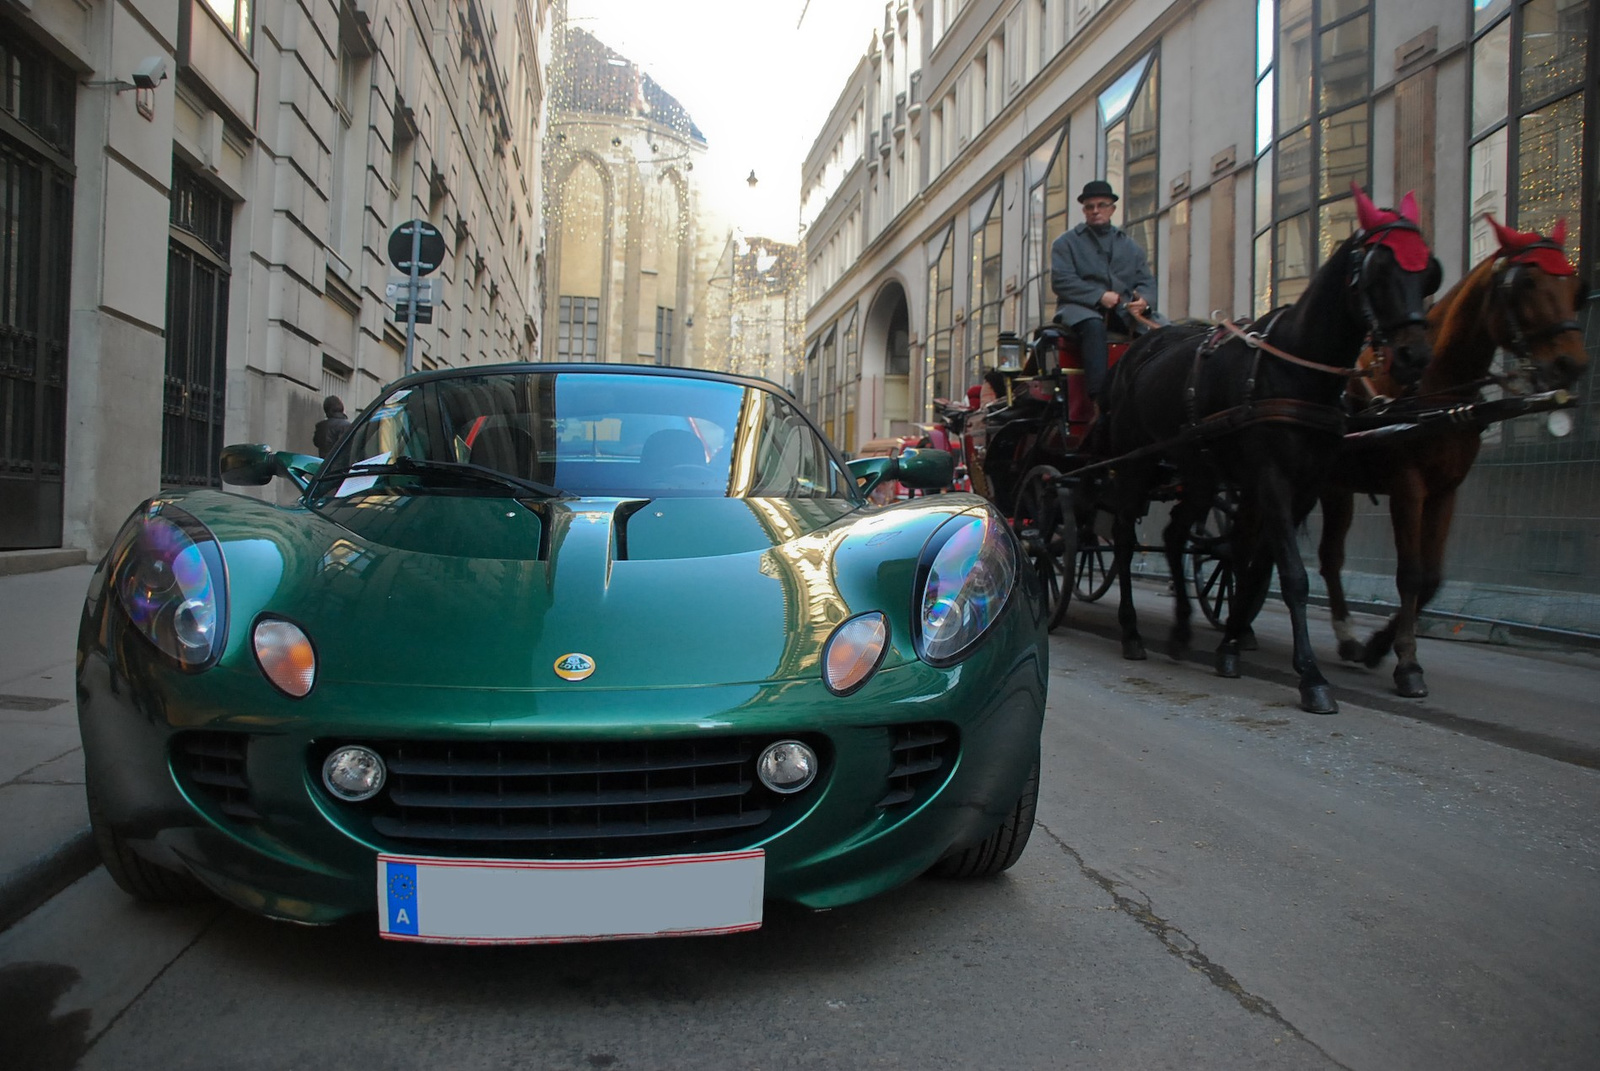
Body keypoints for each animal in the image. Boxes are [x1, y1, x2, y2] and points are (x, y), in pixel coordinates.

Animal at [1088, 188, 1440, 714]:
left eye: (1428, 271)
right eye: (1379, 271)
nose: (1414, 357)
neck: (1296, 371)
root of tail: (1134, 349)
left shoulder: (1303, 488)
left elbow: (1255, 568)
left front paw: (1231, 645)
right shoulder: (1271, 478)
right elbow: (1292, 575)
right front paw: (1311, 676)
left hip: (1198, 472)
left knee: (1174, 534)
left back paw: (1180, 629)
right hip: (1136, 464)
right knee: (1127, 542)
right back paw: (1131, 632)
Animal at [1318, 220, 1593, 697]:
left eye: (1575, 286)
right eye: (1526, 282)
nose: (1572, 364)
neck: (1434, 393)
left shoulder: (1446, 490)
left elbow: (1431, 577)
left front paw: (1378, 646)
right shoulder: (1408, 487)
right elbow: (1409, 573)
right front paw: (1407, 664)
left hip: (1336, 487)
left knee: (1329, 556)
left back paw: (1349, 638)